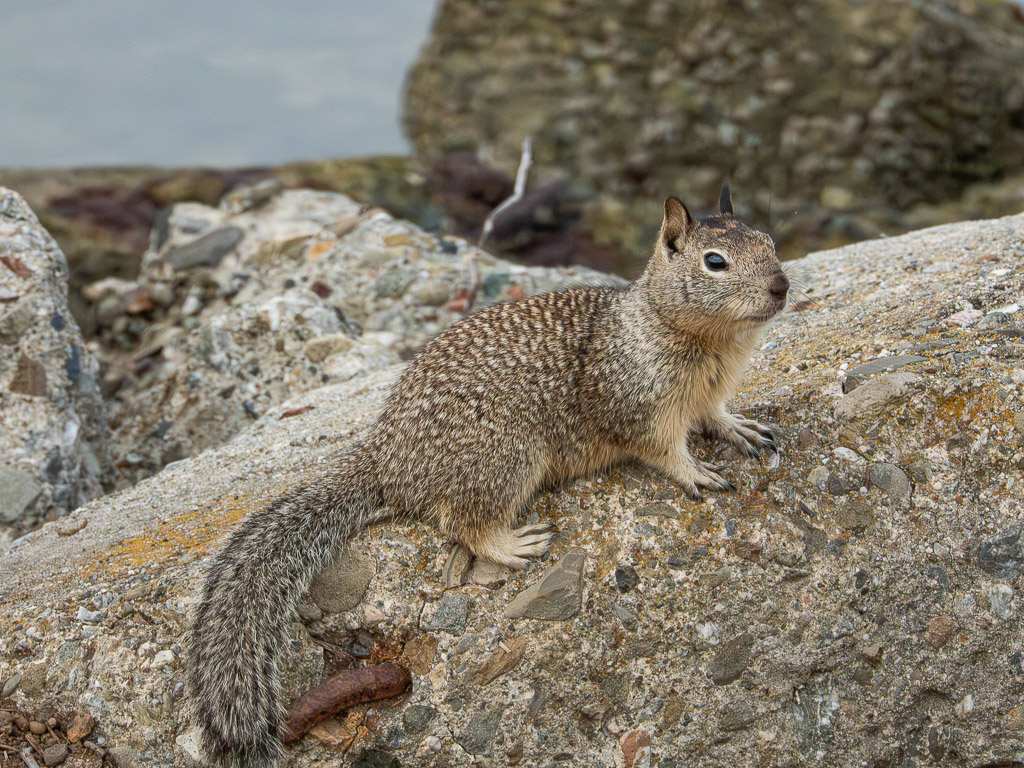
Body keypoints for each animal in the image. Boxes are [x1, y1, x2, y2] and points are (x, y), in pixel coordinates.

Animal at [184, 185, 789, 767]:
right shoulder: (637, 403)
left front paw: (739, 428)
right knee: (461, 522)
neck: (703, 338)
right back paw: (512, 543)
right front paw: (695, 472)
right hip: (506, 458)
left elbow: (714, 415)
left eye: (769, 241)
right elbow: (663, 449)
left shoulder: (707, 393)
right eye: (715, 262)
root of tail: (386, 459)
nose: (782, 286)